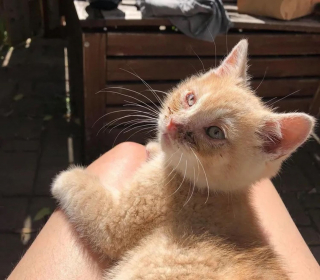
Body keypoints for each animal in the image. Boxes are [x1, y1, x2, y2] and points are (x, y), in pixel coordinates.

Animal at [52, 40, 316, 280]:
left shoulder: (119, 220)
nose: (173, 124)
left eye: (215, 132)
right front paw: (154, 148)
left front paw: (65, 177)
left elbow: (96, 209)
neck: (210, 191)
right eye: (190, 99)